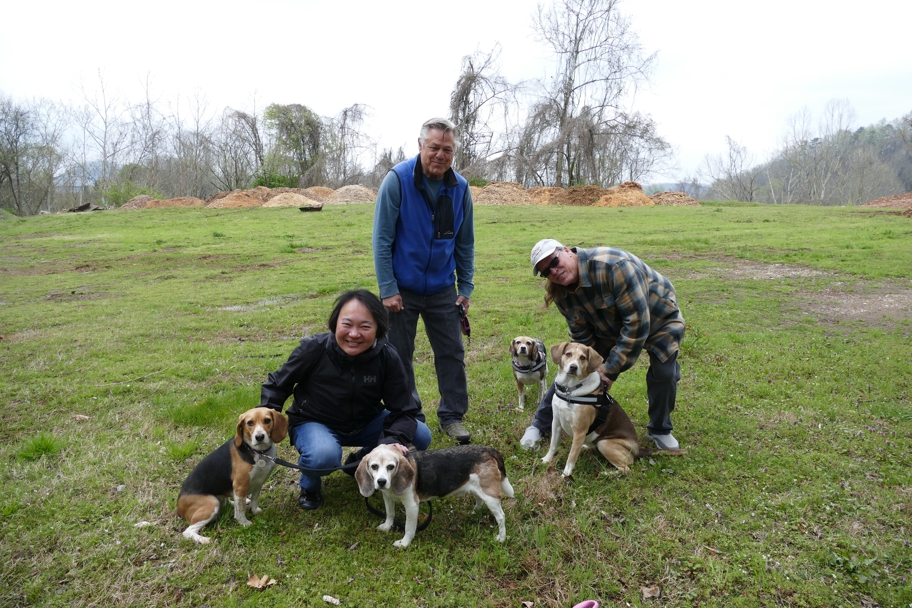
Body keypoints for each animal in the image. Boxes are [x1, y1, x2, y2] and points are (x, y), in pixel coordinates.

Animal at [178, 408, 288, 540]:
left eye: (267, 420)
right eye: (250, 423)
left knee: (228, 502)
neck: (259, 452)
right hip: (211, 503)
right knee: (188, 531)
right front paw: (244, 523)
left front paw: (255, 510)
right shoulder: (240, 485)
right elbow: (240, 510)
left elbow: (254, 499)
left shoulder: (259, 482)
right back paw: (203, 540)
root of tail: (179, 505)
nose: (259, 437)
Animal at [354, 444, 512, 548]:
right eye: (374, 466)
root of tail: (487, 450)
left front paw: (404, 543)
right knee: (479, 500)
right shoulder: (387, 497)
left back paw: (501, 538)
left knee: (501, 517)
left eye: (391, 467)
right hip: (477, 488)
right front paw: (387, 527)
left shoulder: (412, 506)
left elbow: (409, 527)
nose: (381, 482)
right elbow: (390, 514)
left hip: (490, 495)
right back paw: (474, 513)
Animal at [544, 342, 680, 476]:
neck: (570, 390)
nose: (573, 367)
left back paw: (606, 473)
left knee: (626, 469)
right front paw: (547, 459)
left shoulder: (579, 431)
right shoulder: (556, 422)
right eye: (568, 354)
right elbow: (552, 445)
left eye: (583, 357)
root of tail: (638, 449)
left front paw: (565, 475)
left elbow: (571, 457)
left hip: (604, 443)